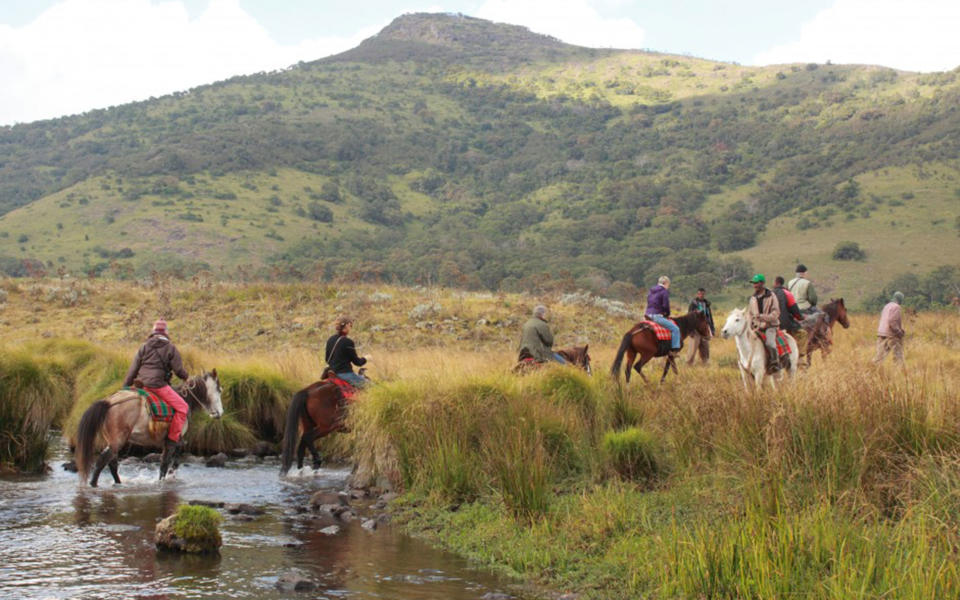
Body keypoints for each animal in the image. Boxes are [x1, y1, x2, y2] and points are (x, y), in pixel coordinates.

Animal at [75, 370, 223, 488]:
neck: (184, 398)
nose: (220, 413)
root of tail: (109, 402)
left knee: (111, 463)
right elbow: (166, 461)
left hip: (112, 441)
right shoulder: (173, 439)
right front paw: (165, 479)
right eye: (219, 389)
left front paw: (171, 474)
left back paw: (118, 483)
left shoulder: (172, 440)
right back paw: (94, 484)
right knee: (103, 461)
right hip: (118, 440)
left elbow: (174, 456)